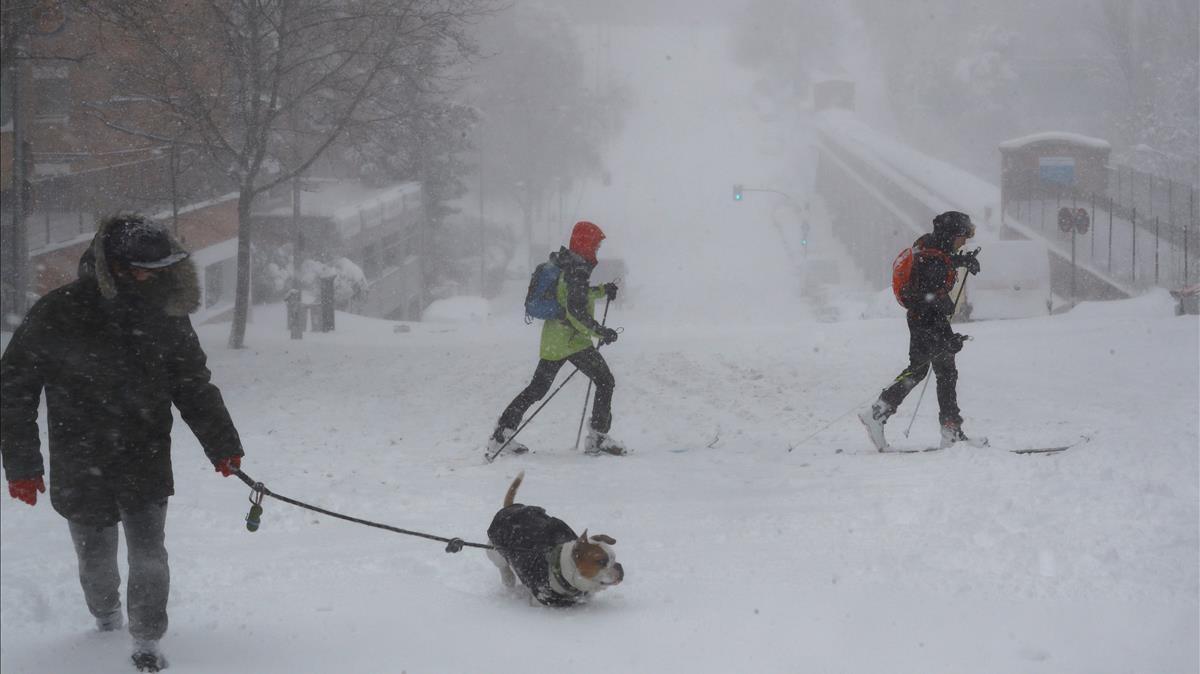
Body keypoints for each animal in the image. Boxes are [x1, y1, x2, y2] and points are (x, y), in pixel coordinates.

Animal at [484, 470, 624, 606]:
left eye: (614, 558)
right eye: (601, 561)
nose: (619, 567)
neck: (561, 569)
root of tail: (509, 508)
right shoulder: (540, 599)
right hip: (494, 550)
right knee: (502, 566)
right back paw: (508, 578)